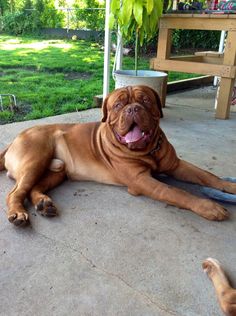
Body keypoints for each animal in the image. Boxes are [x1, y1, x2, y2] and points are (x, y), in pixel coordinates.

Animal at [0, 85, 236, 226]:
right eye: (119, 105)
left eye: (145, 101)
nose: (132, 109)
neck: (148, 150)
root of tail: (15, 139)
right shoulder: (140, 180)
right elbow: (176, 192)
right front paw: (208, 207)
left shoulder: (176, 165)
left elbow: (206, 175)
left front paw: (229, 186)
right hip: (35, 160)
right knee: (16, 192)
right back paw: (18, 213)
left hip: (57, 171)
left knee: (34, 188)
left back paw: (44, 204)